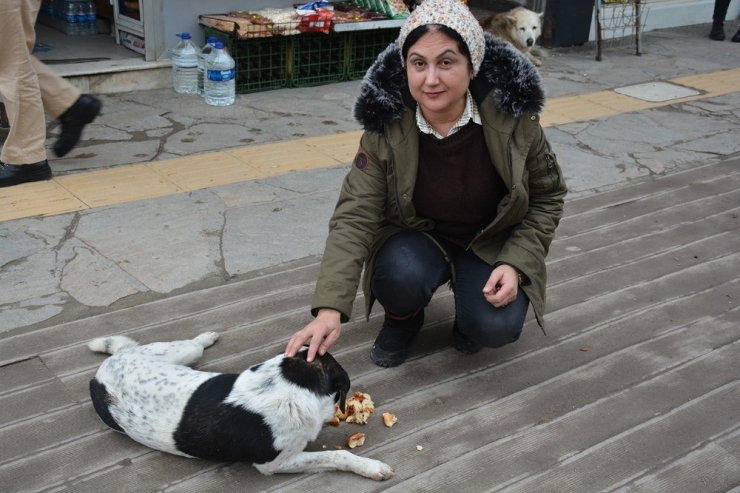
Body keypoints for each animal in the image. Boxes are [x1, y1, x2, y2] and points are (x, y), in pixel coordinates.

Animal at [88, 330, 394, 480]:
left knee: (192, 344)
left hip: (179, 352)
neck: (290, 383)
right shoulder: (274, 463)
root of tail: (103, 372)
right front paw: (372, 467)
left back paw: (207, 336)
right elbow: (337, 455)